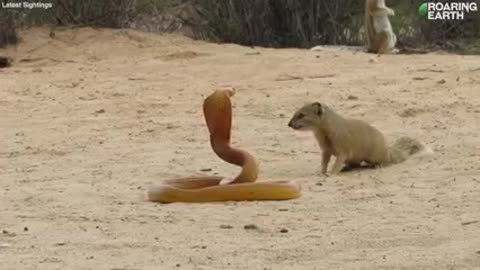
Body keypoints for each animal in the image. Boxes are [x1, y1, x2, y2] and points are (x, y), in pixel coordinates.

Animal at [286, 102, 434, 175]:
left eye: (301, 115)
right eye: (296, 113)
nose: (288, 124)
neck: (324, 134)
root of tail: (387, 149)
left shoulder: (343, 148)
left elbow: (337, 162)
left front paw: (331, 174)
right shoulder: (325, 149)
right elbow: (324, 162)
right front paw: (321, 173)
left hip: (375, 155)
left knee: (386, 162)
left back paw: (377, 166)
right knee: (355, 165)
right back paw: (347, 168)